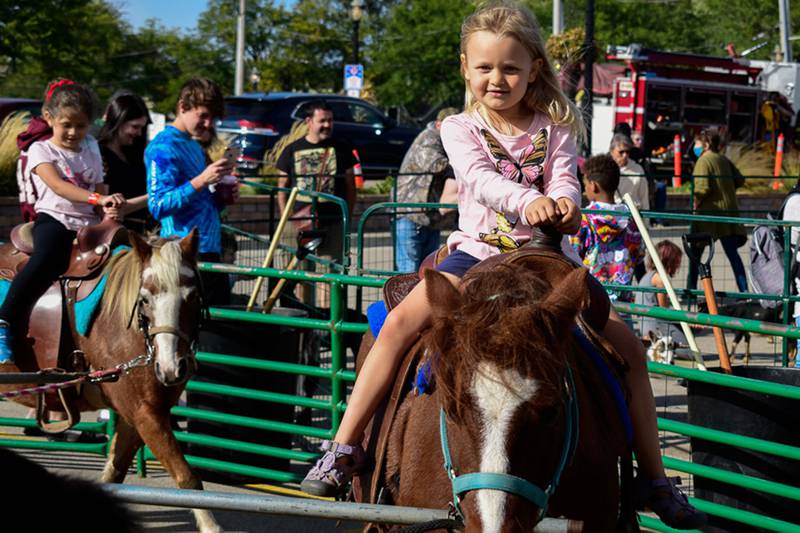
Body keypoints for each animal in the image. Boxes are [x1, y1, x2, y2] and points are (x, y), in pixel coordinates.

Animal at [0, 231, 222, 532]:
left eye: (193, 296)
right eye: (145, 299)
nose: (171, 367)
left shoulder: (138, 417)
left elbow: (113, 475)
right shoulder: (146, 415)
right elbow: (187, 478)